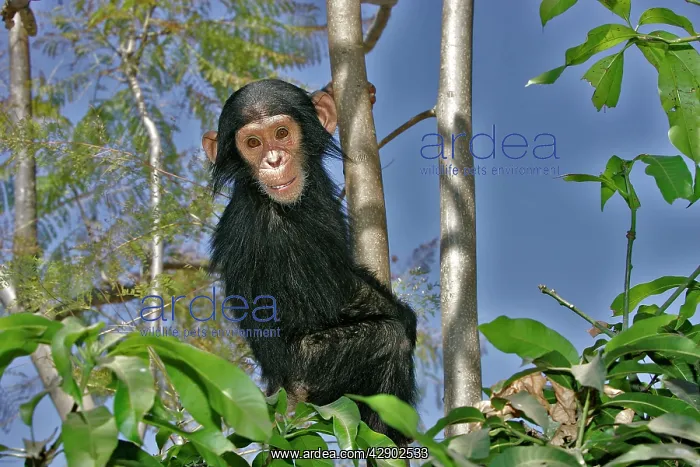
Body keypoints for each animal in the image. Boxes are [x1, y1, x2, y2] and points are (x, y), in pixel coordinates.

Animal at [202, 79, 417, 447]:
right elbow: (335, 297)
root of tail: (279, 389)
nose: (273, 159)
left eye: (282, 133)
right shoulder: (273, 230)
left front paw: (337, 95)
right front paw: (403, 314)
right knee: (389, 340)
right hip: (311, 372)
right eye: (253, 143)